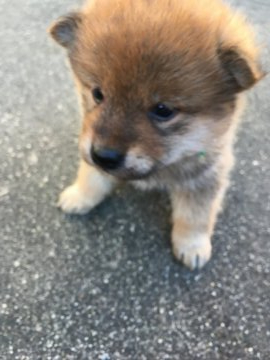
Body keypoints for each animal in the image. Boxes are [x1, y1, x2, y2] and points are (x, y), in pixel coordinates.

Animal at [48, 0, 262, 270]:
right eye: (97, 93)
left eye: (163, 110)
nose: (104, 156)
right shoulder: (92, 140)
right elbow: (91, 176)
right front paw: (80, 195)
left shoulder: (205, 173)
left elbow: (195, 214)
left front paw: (192, 245)